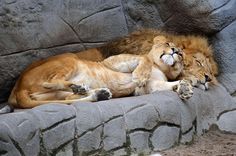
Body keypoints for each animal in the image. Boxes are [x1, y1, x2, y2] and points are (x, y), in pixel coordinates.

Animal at [3, 35, 192, 111]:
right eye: (167, 44)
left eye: (181, 55)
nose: (176, 50)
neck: (159, 67)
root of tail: (17, 89)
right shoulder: (112, 62)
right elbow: (142, 59)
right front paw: (139, 76)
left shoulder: (147, 88)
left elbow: (166, 85)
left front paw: (184, 88)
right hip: (69, 59)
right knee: (50, 82)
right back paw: (81, 87)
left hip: (53, 95)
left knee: (68, 97)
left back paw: (97, 93)